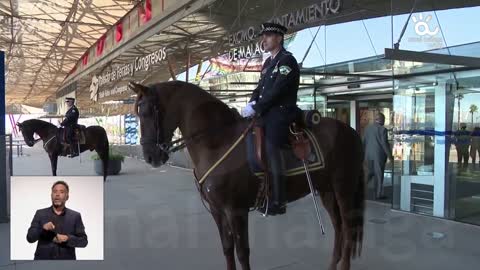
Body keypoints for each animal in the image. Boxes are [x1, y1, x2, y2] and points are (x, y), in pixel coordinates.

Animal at [130, 81, 364, 270]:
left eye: (148, 112)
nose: (149, 156)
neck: (217, 141)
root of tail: (351, 131)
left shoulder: (236, 210)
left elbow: (242, 252)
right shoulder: (217, 210)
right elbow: (227, 248)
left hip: (344, 187)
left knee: (348, 229)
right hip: (326, 190)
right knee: (339, 227)